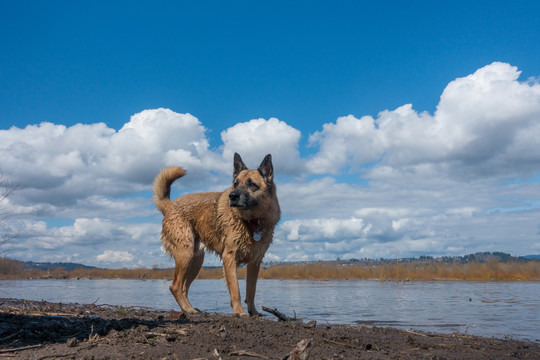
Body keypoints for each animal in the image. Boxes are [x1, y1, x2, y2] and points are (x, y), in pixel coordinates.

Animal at [152, 153, 278, 316]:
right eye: (235, 184)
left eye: (252, 184)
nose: (233, 196)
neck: (251, 221)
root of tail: (170, 205)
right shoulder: (229, 258)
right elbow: (235, 289)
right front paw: (239, 312)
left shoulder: (255, 262)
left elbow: (251, 290)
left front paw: (253, 312)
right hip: (185, 254)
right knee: (175, 286)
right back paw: (188, 309)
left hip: (196, 260)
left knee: (184, 288)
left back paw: (191, 308)